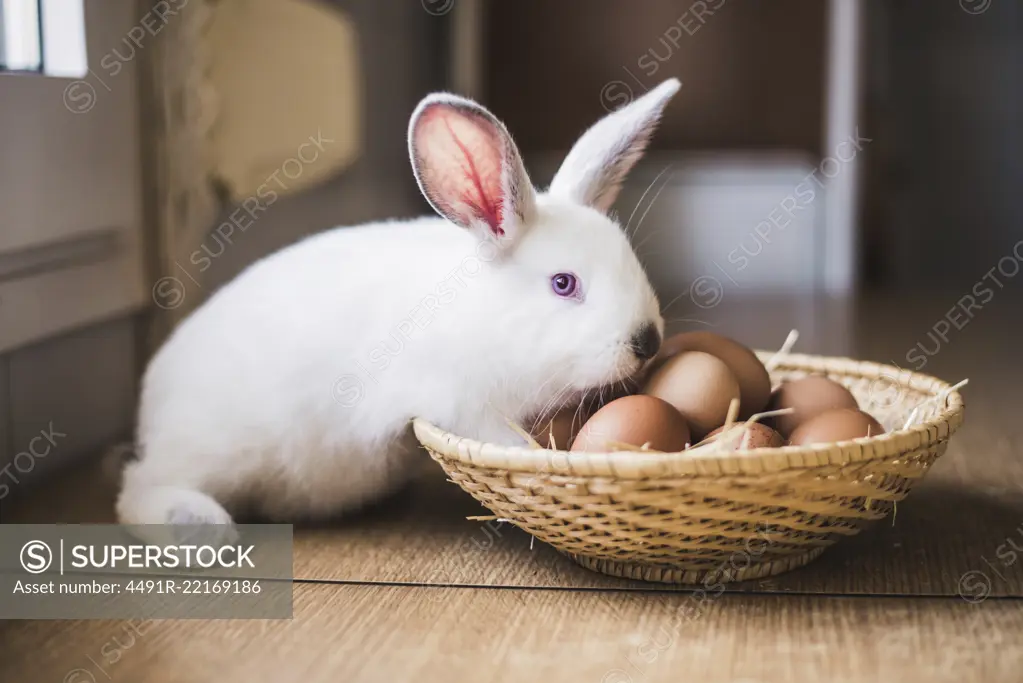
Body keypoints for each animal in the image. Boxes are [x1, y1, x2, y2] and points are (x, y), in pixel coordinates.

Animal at [117, 78, 679, 527]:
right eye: (564, 284)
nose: (647, 341)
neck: (485, 314)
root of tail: (150, 404)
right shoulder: (463, 404)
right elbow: (503, 438)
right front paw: (531, 454)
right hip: (212, 452)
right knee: (138, 487)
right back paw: (198, 524)